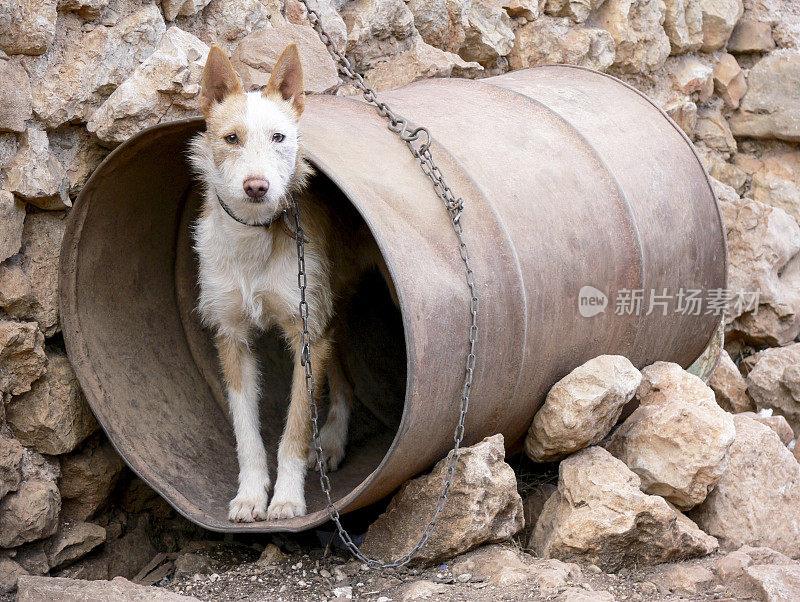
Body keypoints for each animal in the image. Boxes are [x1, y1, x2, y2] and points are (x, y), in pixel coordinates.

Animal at [189, 44, 386, 516]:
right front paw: (249, 495)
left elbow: (295, 428)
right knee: (344, 381)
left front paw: (287, 499)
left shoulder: (306, 334)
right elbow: (246, 432)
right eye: (231, 138)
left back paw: (328, 442)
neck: (253, 238)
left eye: (279, 138)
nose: (257, 186)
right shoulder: (231, 336)